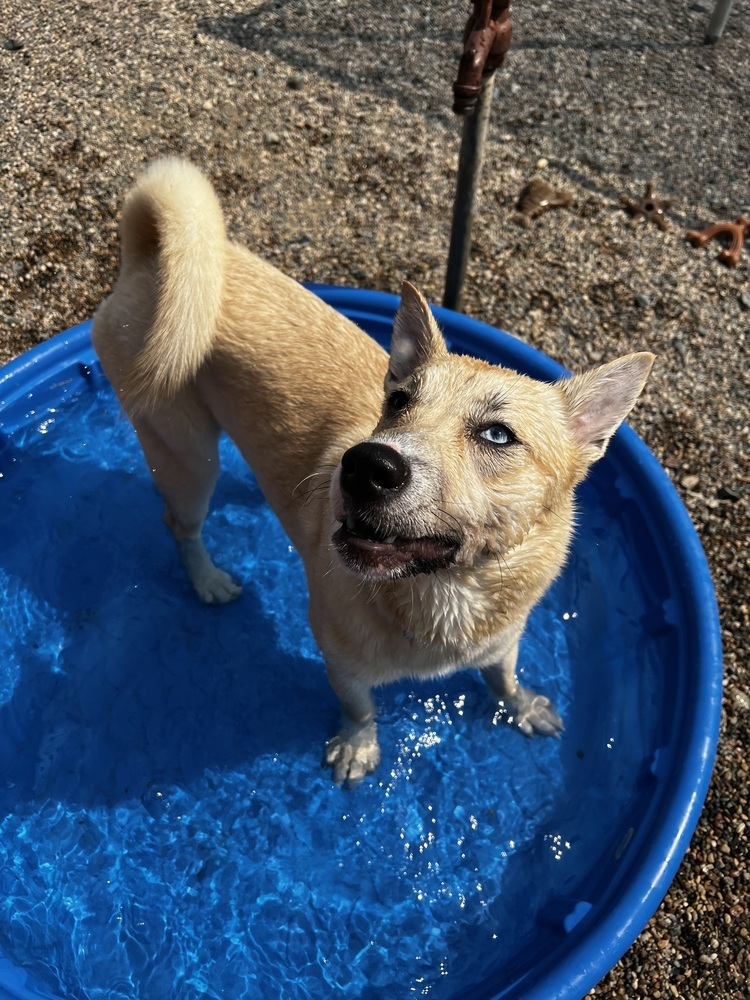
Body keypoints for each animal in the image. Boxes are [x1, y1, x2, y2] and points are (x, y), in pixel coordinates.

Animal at [94, 158, 656, 780]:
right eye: (400, 400)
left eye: (497, 435)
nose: (365, 466)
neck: (445, 595)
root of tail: (151, 257)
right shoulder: (338, 655)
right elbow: (359, 705)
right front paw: (358, 746)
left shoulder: (503, 639)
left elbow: (503, 674)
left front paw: (523, 705)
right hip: (187, 455)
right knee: (180, 524)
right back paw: (208, 580)